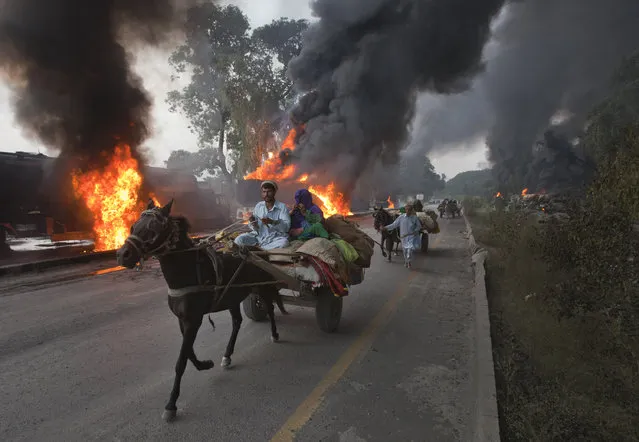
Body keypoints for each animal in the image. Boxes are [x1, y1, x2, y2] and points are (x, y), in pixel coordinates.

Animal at [115, 200, 284, 422]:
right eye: (134, 226)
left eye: (154, 229)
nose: (122, 255)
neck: (187, 271)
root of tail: (257, 250)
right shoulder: (183, 320)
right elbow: (188, 353)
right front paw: (205, 364)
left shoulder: (193, 320)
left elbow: (181, 361)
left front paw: (171, 404)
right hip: (233, 297)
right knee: (237, 322)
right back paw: (227, 355)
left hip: (262, 287)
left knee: (271, 309)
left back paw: (274, 334)